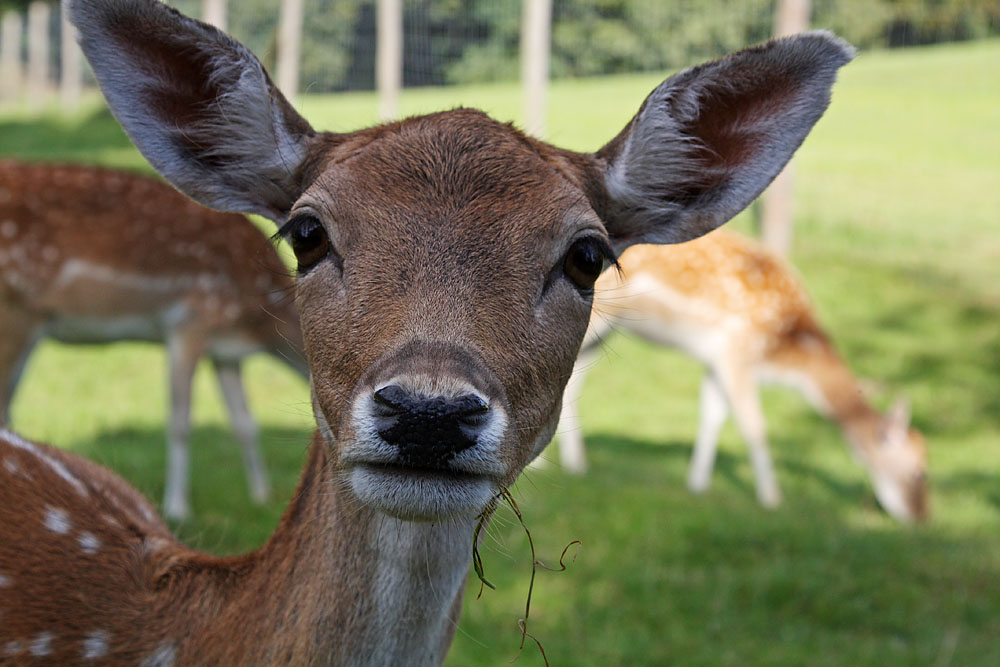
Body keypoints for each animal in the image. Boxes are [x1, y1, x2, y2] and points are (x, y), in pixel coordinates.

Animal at [0, 160, 306, 520]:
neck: (258, 322)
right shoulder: (192, 320)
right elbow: (179, 422)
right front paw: (177, 508)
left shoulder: (227, 353)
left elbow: (245, 423)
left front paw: (262, 498)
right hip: (15, 310)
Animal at [556, 232, 928, 524]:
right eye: (918, 471)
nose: (923, 518)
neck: (785, 353)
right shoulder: (738, 353)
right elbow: (754, 425)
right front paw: (772, 499)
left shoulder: (717, 361)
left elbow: (711, 417)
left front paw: (697, 485)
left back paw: (576, 465)